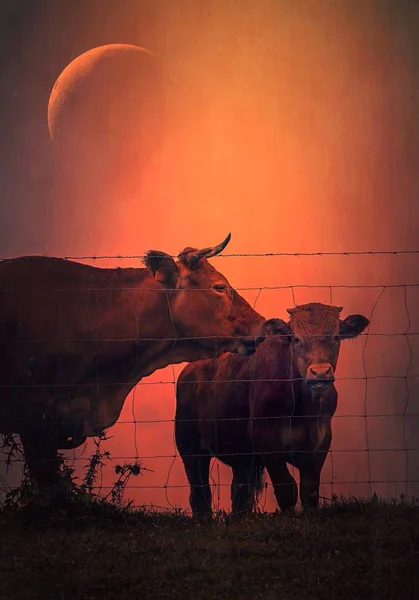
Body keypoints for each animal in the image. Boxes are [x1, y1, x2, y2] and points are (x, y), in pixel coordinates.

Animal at [176, 302, 370, 516]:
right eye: (296, 339)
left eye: (336, 337)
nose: (320, 373)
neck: (302, 409)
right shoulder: (267, 440)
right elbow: (286, 488)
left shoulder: (320, 441)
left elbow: (310, 490)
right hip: (190, 449)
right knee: (200, 493)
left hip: (241, 456)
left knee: (240, 493)